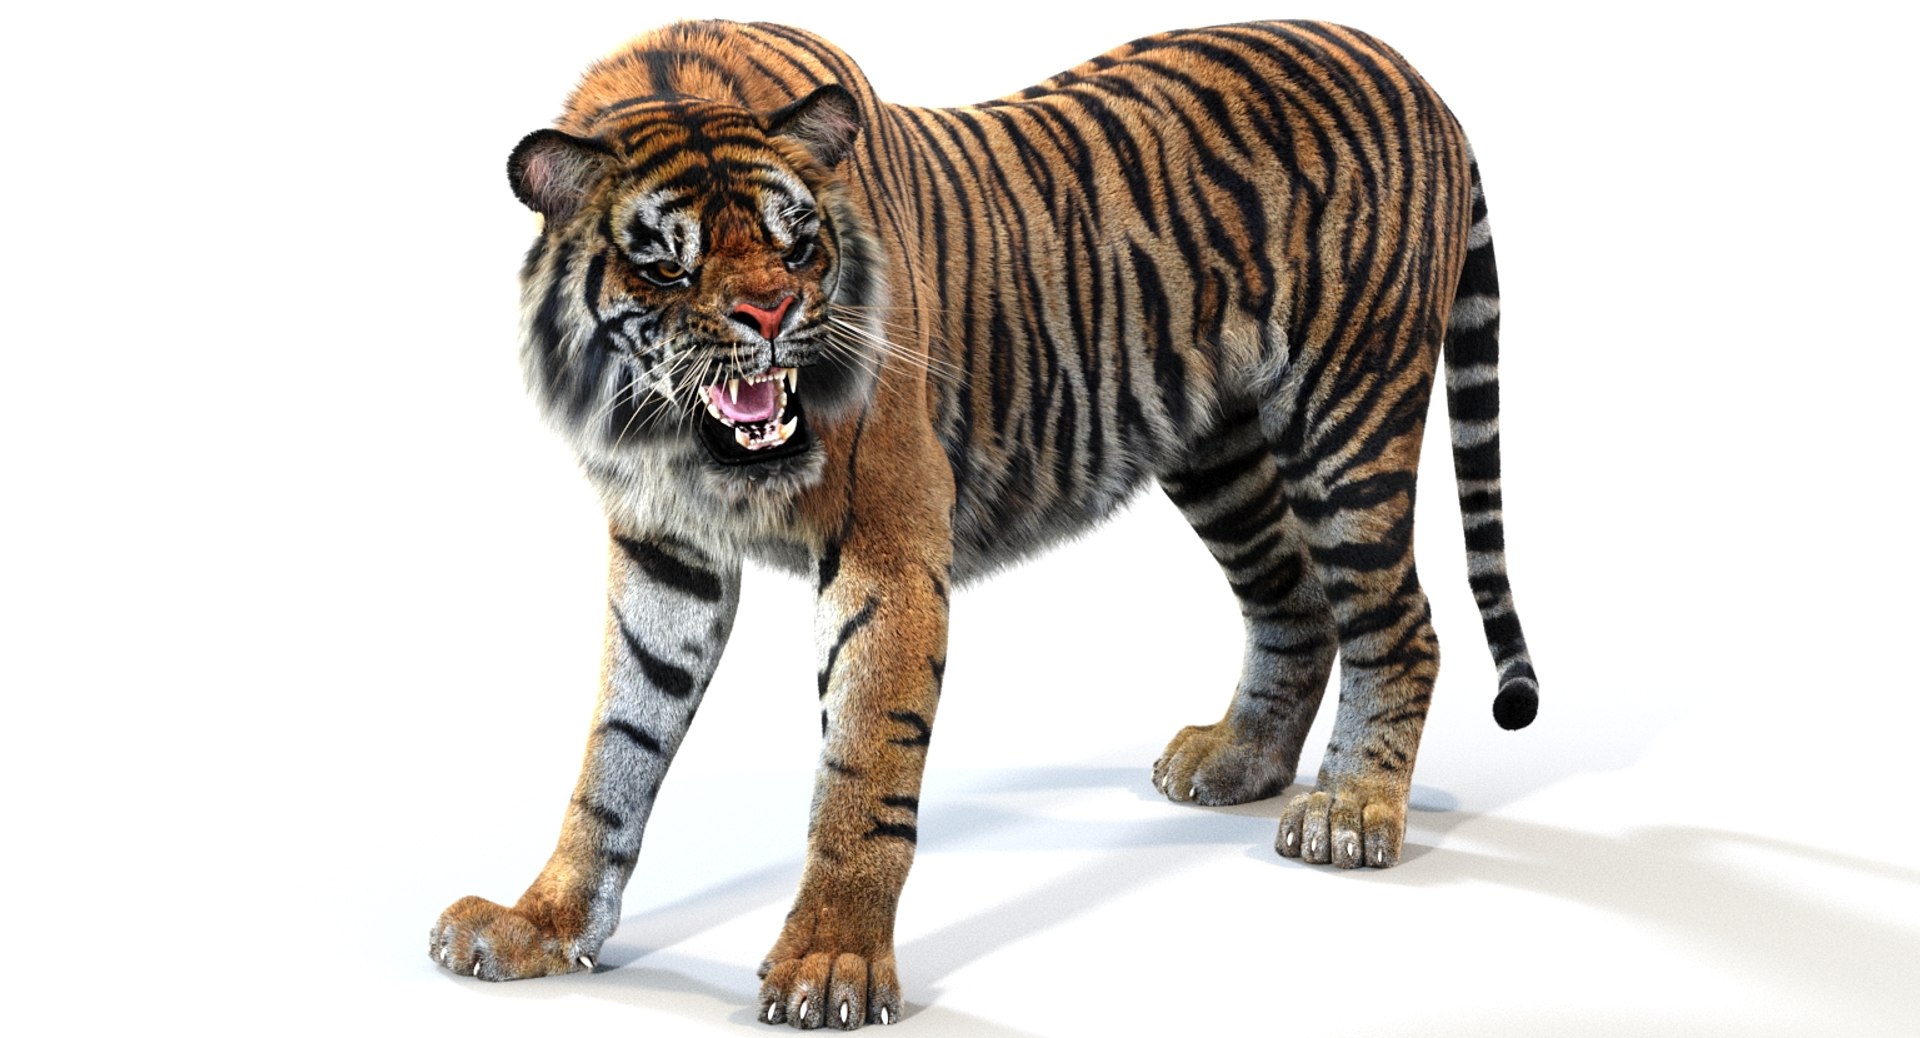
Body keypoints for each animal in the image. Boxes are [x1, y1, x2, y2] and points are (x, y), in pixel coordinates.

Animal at [430, 18, 1540, 1029]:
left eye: (797, 243)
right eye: (668, 267)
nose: (772, 317)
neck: (675, 441)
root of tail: (1408, 68)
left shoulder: (885, 546)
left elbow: (864, 763)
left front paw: (832, 961)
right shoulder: (665, 551)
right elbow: (618, 746)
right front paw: (543, 924)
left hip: (1347, 420)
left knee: (1401, 624)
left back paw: (1352, 812)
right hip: (1217, 449)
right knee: (1294, 605)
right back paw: (1238, 761)